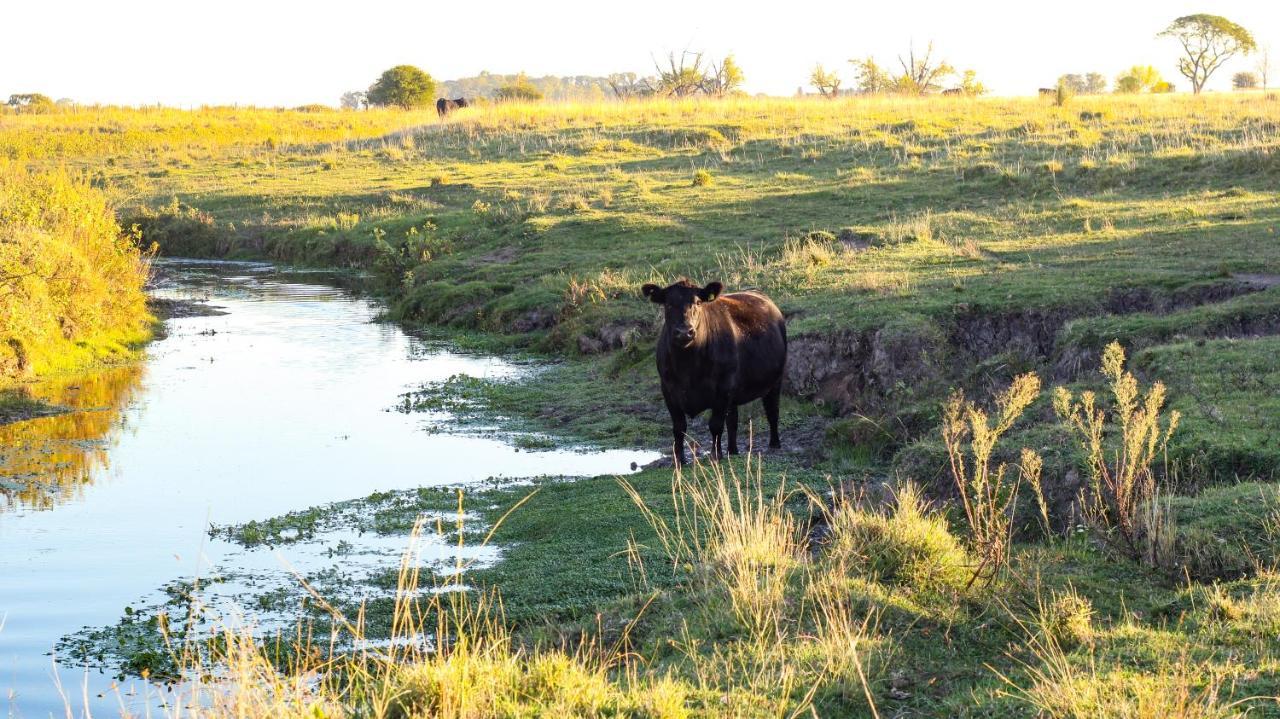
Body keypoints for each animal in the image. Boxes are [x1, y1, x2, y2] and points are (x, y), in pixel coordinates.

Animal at [640, 277, 788, 460]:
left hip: (775, 380)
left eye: (697, 302)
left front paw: (715, 455)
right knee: (733, 420)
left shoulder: (723, 388)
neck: (687, 367)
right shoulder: (668, 389)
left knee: (772, 411)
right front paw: (680, 459)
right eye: (668, 304)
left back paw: (774, 444)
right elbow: (679, 427)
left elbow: (716, 425)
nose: (684, 332)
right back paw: (732, 450)